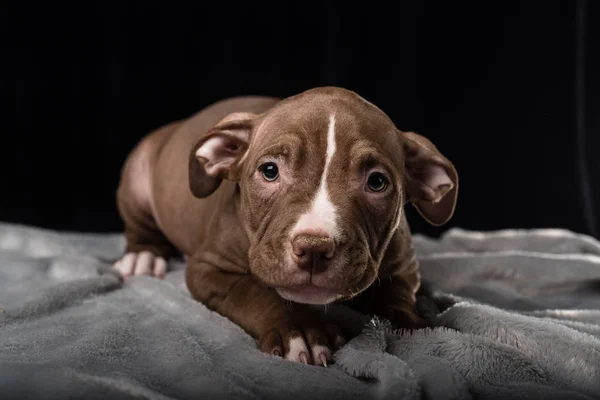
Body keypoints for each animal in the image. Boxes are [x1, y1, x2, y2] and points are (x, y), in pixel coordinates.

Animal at [113, 86, 460, 366]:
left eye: (377, 182)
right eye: (270, 171)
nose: (315, 249)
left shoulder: (404, 266)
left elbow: (396, 295)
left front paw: (412, 324)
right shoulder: (209, 269)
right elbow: (253, 290)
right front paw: (300, 329)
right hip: (137, 175)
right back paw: (144, 255)